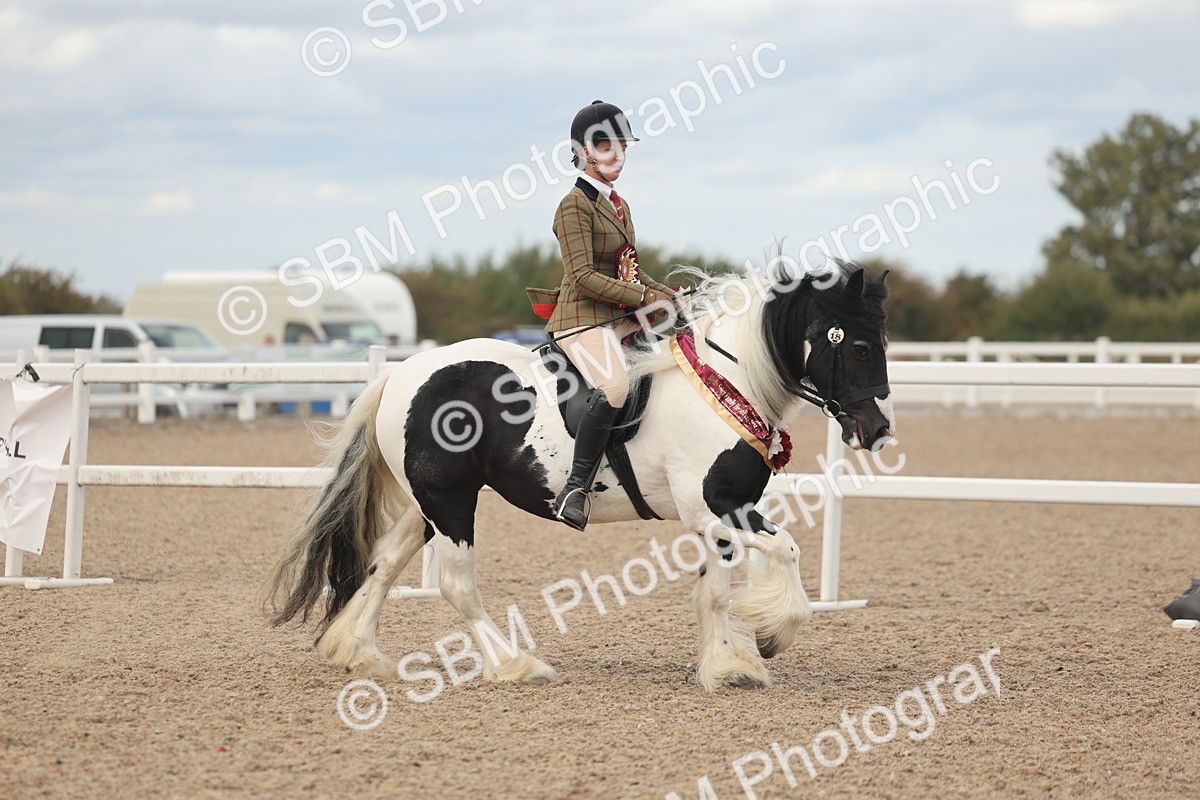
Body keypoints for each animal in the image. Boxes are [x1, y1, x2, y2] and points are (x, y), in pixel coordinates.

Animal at [263, 260, 893, 691]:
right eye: (857, 345)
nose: (876, 430)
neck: (724, 382)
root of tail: (399, 374)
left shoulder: (715, 515)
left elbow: (715, 591)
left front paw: (727, 663)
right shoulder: (716, 508)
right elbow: (785, 549)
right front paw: (769, 635)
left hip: (429, 506)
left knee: (384, 564)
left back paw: (357, 651)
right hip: (450, 501)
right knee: (456, 585)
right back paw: (514, 664)